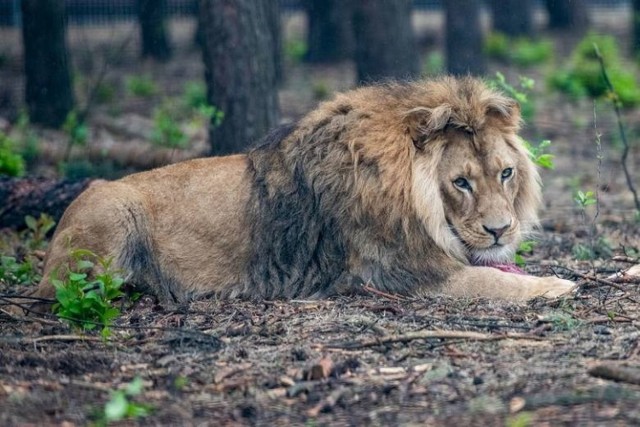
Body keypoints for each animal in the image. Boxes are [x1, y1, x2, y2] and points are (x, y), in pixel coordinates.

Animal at [26, 75, 576, 306]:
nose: (500, 230)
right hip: (111, 214)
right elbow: (492, 282)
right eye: (460, 182)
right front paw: (557, 286)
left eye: (506, 174)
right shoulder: (398, 276)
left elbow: (499, 270)